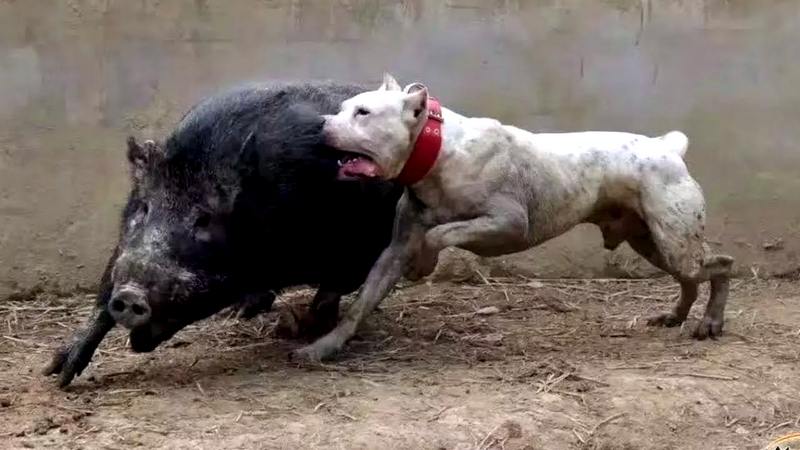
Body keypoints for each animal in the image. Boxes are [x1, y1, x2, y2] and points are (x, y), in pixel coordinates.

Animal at [43, 82, 400, 388]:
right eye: (144, 208)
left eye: (204, 219)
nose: (131, 294)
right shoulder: (122, 245)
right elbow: (106, 286)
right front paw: (56, 375)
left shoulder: (358, 251)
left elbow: (332, 293)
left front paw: (296, 329)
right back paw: (239, 312)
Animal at [290, 74, 736, 362]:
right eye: (343, 109)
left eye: (363, 113)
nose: (318, 123)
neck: (438, 151)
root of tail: (668, 148)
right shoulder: (393, 251)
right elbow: (362, 302)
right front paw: (322, 347)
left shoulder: (506, 225)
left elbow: (439, 234)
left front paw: (425, 264)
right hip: (652, 241)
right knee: (691, 277)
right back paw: (676, 316)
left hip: (674, 239)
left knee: (721, 265)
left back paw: (710, 322)